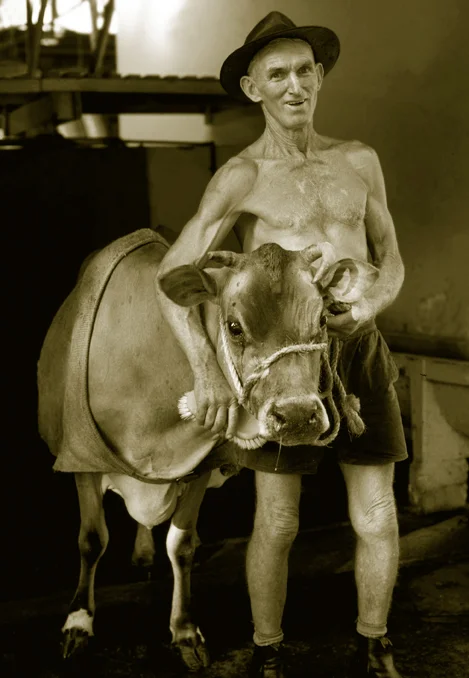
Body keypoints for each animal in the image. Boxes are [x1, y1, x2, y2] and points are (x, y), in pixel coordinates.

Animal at [37, 228, 377, 670]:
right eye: (234, 326)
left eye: (321, 320)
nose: (298, 415)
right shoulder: (80, 459)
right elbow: (91, 540)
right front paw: (78, 622)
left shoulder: (199, 464)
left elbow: (181, 546)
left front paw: (184, 630)